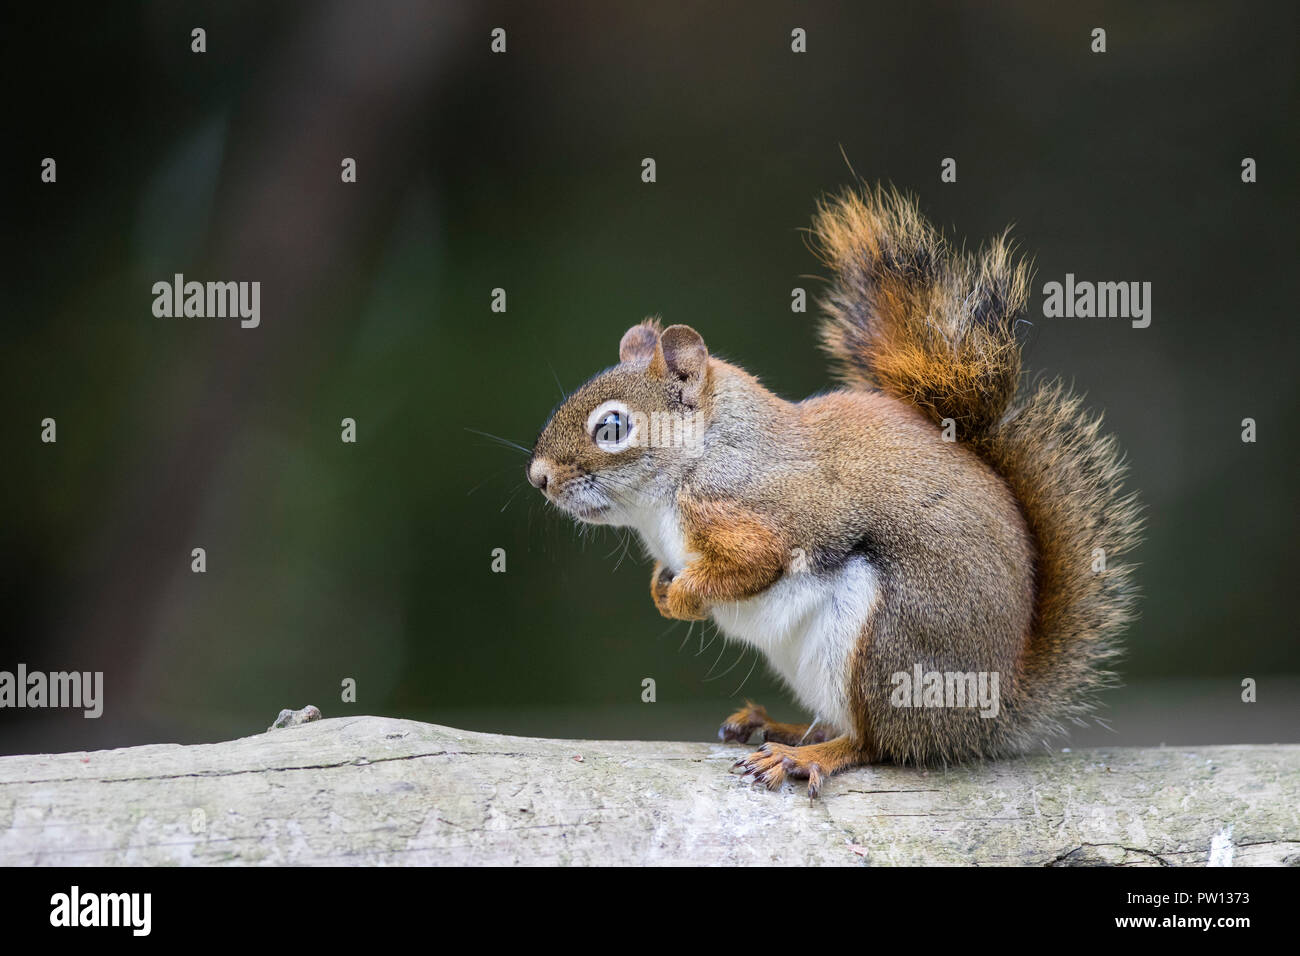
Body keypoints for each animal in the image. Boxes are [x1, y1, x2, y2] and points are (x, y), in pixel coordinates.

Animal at [525, 187, 1138, 801]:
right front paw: (661, 589)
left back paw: (803, 755)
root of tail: (987, 712)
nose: (538, 477)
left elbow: (754, 563)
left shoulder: (760, 511)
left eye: (612, 428)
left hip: (884, 647)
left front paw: (681, 597)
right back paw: (777, 726)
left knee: (877, 743)